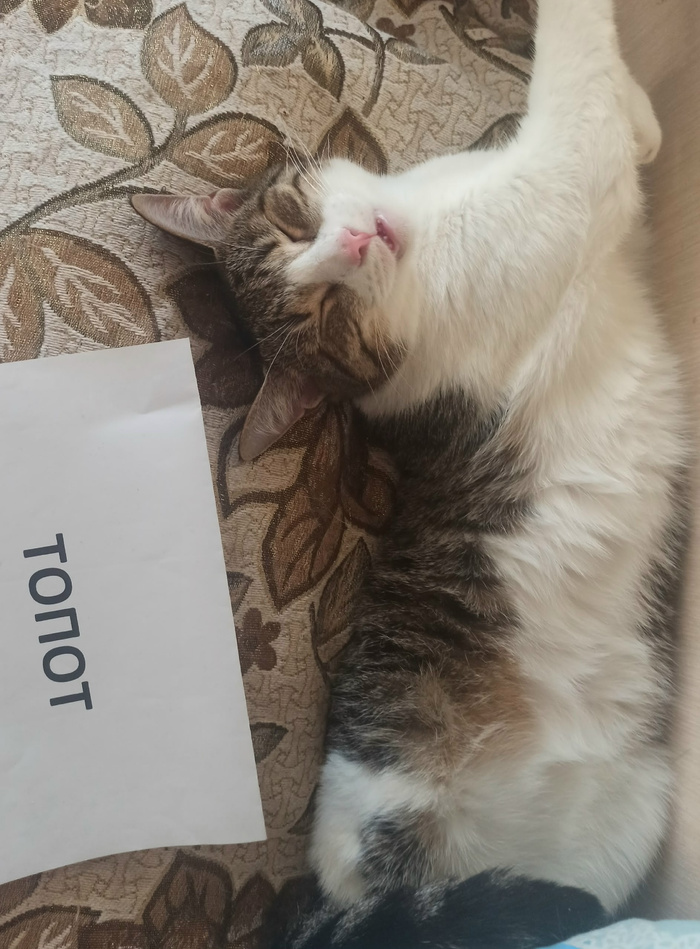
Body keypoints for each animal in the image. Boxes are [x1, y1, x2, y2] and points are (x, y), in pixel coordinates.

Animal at [131, 0, 688, 945]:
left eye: (291, 220)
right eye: (325, 312)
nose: (356, 241)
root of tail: (338, 904)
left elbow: (618, 111)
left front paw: (647, 116)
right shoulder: (562, 180)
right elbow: (574, 71)